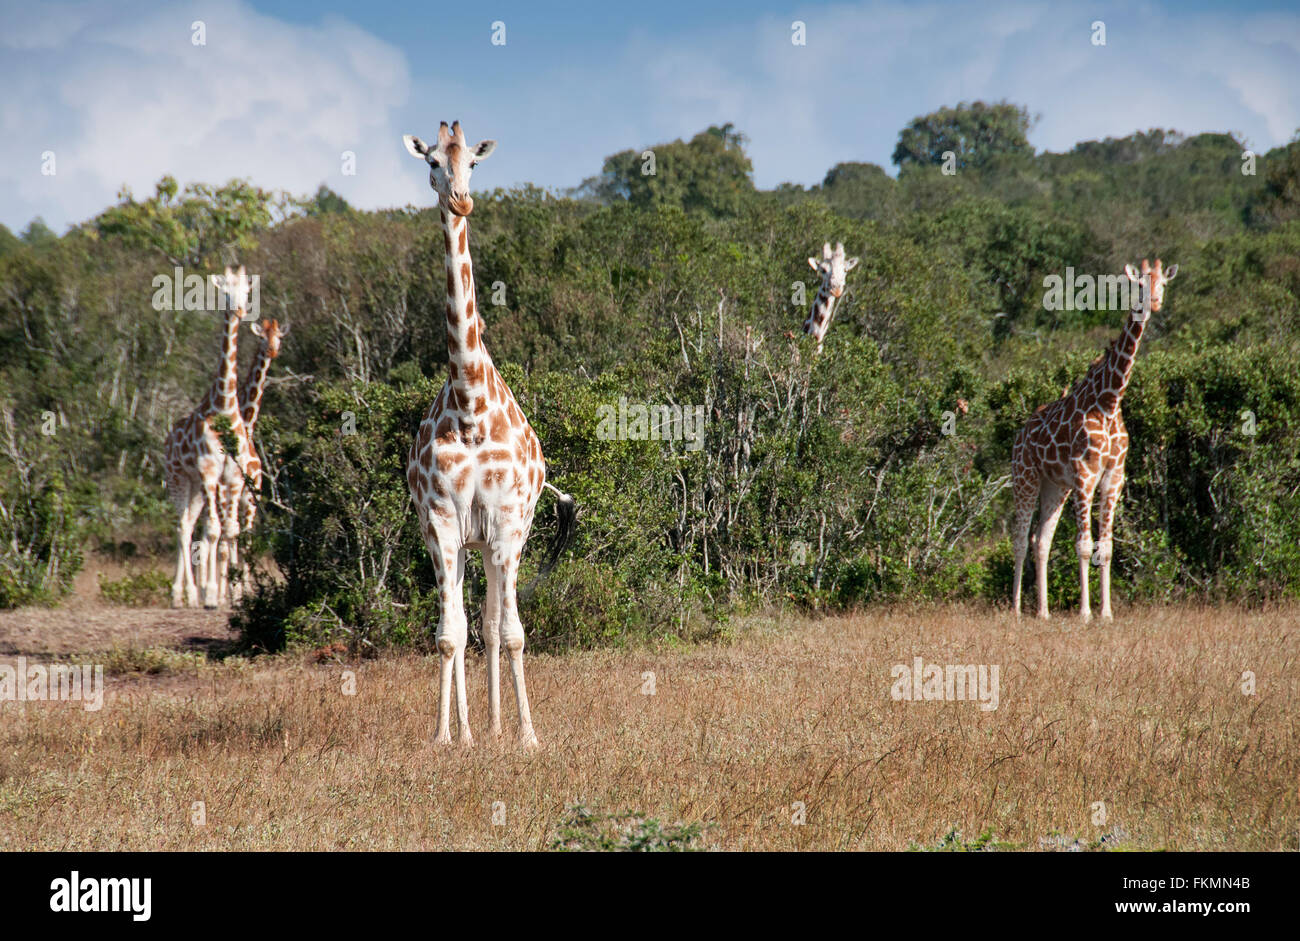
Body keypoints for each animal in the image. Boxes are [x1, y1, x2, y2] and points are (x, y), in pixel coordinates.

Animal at [163, 267, 257, 610]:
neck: (225, 408)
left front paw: (234, 594)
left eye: (247, 290)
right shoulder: (209, 471)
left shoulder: (232, 476)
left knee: (190, 524)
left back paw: (185, 594)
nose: (239, 310)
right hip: (178, 478)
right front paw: (213, 595)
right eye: (224, 291)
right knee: (182, 527)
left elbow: (229, 531)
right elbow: (215, 531)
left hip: (196, 487)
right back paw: (185, 595)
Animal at [400, 121, 574, 748]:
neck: (471, 404)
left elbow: (511, 630)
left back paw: (500, 725)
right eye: (431, 161)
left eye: (473, 162)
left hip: (509, 539)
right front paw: (445, 737)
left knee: (494, 620)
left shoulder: (506, 521)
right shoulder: (442, 522)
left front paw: (527, 737)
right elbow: (449, 633)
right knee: (467, 618)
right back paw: (474, 728)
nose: (459, 200)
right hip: (458, 542)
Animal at [1008, 261, 1185, 621]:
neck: (1109, 400)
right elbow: (1083, 545)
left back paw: (1043, 612)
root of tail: (1020, 435)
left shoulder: (1113, 476)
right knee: (1019, 539)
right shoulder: (1085, 475)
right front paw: (1086, 612)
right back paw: (1016, 609)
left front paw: (1106, 612)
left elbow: (1107, 546)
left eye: (1162, 284)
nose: (1153, 303)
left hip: (1054, 486)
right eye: (1139, 285)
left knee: (1040, 540)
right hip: (1025, 477)